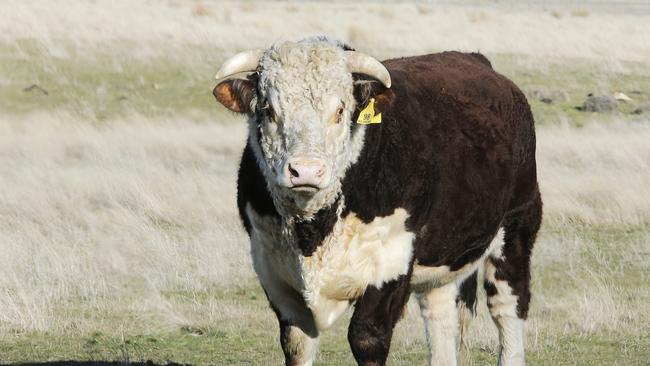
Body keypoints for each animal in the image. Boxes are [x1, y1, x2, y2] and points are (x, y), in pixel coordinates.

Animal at [213, 36, 540, 366]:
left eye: (340, 110)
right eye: (268, 109)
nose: (305, 170)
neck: (313, 233)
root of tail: (477, 60)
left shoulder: (392, 261)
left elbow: (367, 338)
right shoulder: (272, 271)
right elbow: (297, 343)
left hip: (517, 226)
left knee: (508, 307)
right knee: (440, 317)